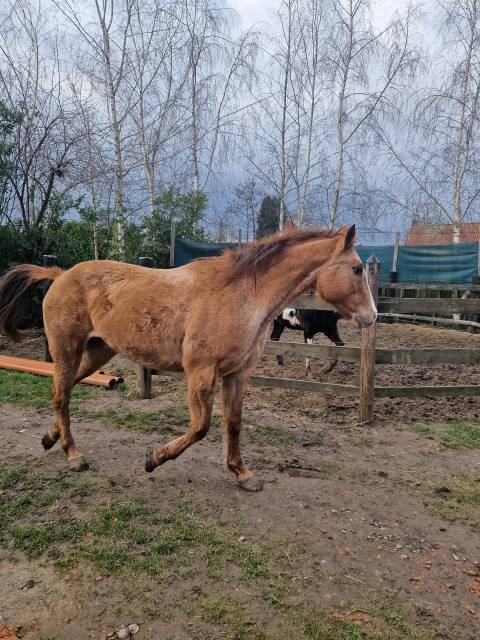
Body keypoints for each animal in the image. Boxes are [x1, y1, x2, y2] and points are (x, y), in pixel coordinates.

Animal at [0, 225, 376, 490]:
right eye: (357, 269)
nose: (371, 317)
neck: (240, 296)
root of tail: (60, 275)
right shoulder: (201, 372)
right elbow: (200, 427)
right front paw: (153, 459)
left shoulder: (238, 373)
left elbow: (233, 423)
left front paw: (243, 474)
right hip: (66, 349)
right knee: (61, 395)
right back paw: (73, 454)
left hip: (96, 352)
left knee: (62, 391)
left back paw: (51, 439)